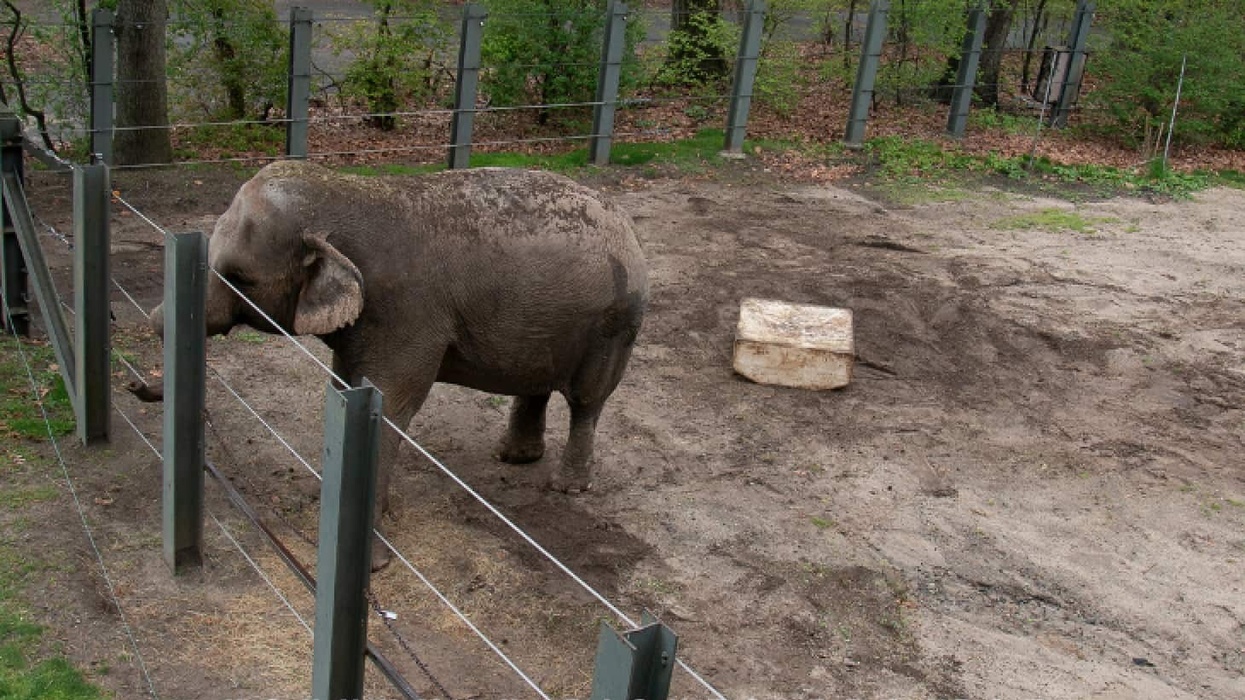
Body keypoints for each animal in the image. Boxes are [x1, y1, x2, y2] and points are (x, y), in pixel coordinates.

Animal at [131, 160, 648, 568]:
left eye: (240, 278)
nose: (137, 387)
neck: (346, 195)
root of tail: (624, 221)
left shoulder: (406, 313)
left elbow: (392, 409)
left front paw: (370, 562)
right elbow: (346, 389)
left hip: (613, 323)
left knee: (587, 399)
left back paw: (568, 486)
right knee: (537, 378)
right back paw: (515, 457)